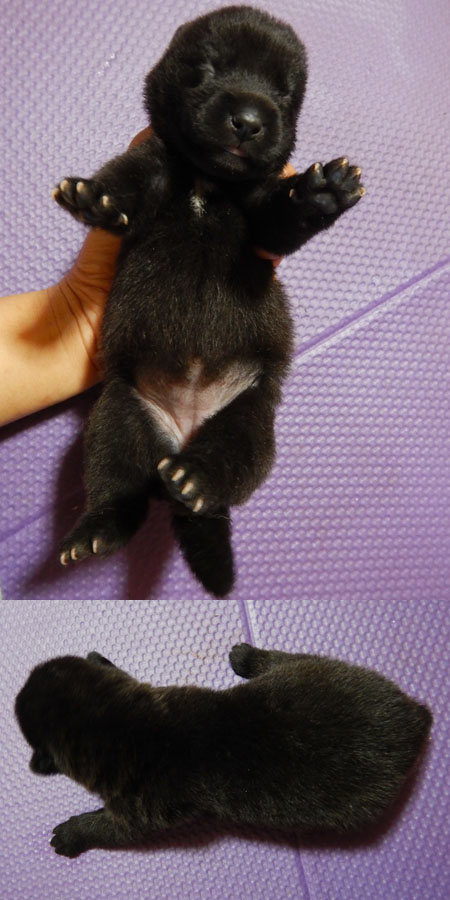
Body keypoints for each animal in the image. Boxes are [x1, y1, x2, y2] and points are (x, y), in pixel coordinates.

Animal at [15, 643, 430, 856]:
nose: (19, 693)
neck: (129, 725)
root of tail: (415, 718)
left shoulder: (139, 814)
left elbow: (106, 828)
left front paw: (72, 834)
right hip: (324, 671)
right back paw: (246, 656)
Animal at [54, 6, 364, 594]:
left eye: (285, 92)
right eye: (206, 69)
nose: (249, 119)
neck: (207, 180)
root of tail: (181, 439)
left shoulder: (263, 217)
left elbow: (282, 215)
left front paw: (320, 193)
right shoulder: (152, 159)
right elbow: (128, 181)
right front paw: (97, 199)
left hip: (250, 422)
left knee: (222, 471)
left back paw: (194, 482)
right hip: (118, 413)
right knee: (118, 485)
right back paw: (95, 529)